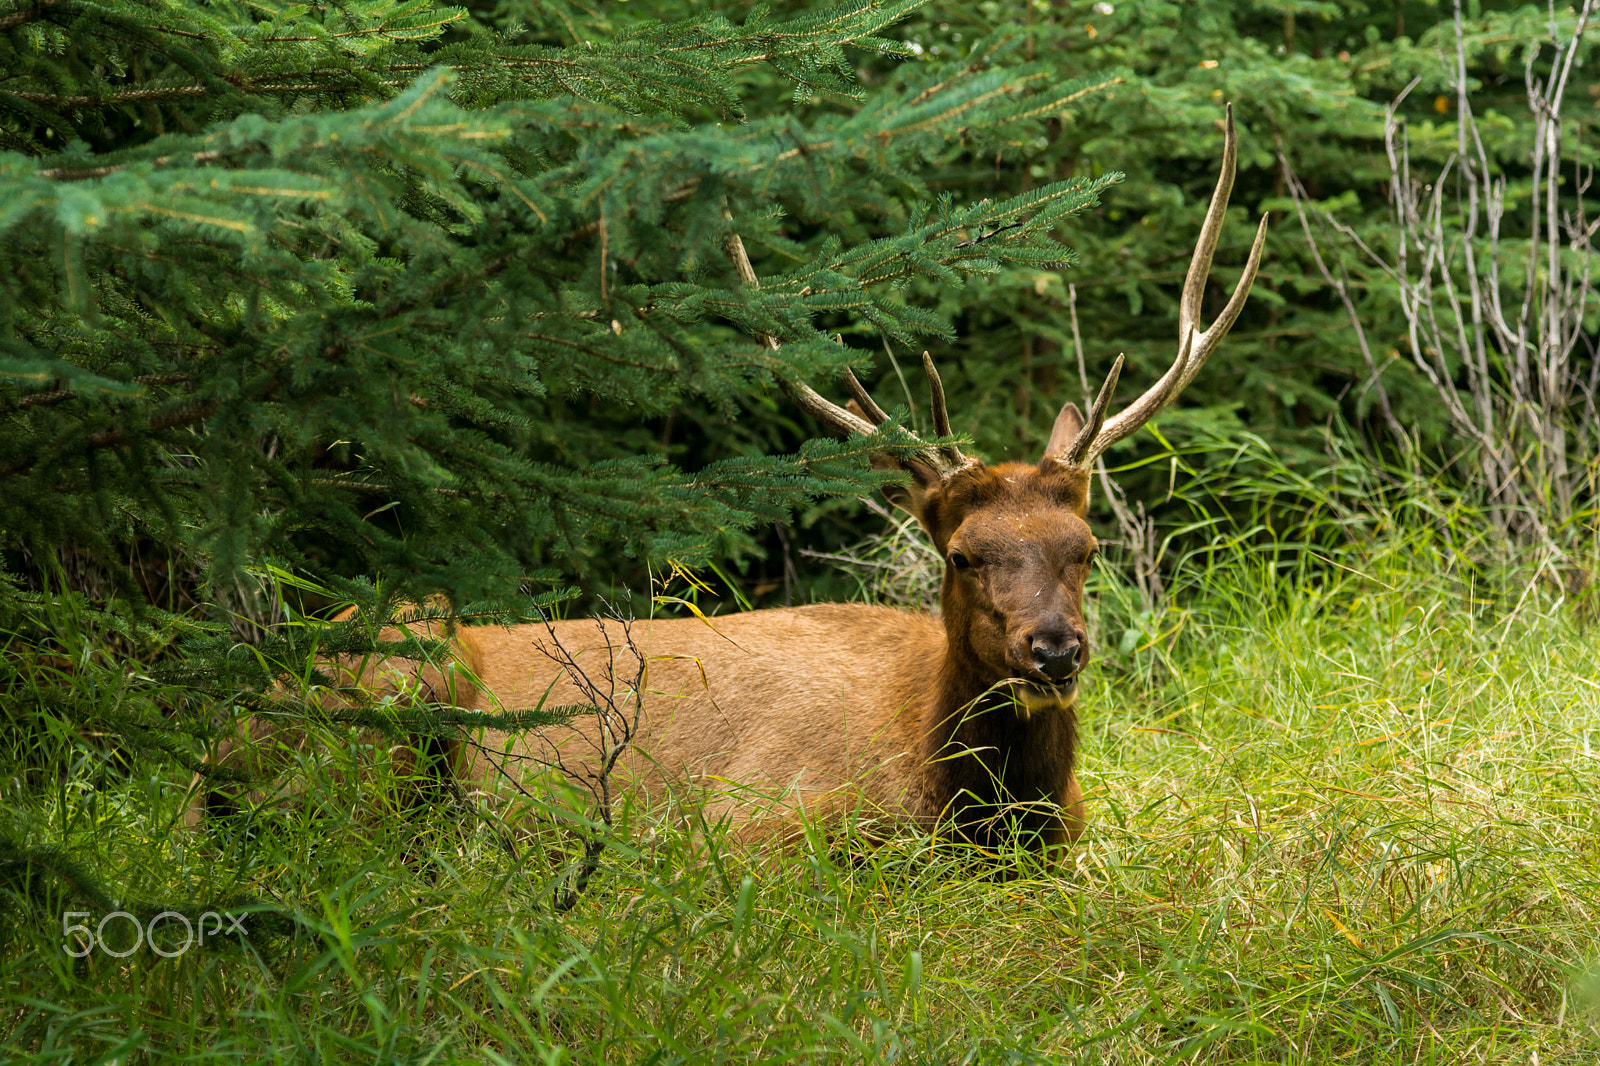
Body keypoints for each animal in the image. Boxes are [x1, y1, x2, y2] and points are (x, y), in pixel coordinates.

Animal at [187, 110, 1267, 858]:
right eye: (963, 554)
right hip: (394, 681)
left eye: (1083, 548)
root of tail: (217, 745)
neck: (963, 806)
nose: (1054, 649)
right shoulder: (750, 822)